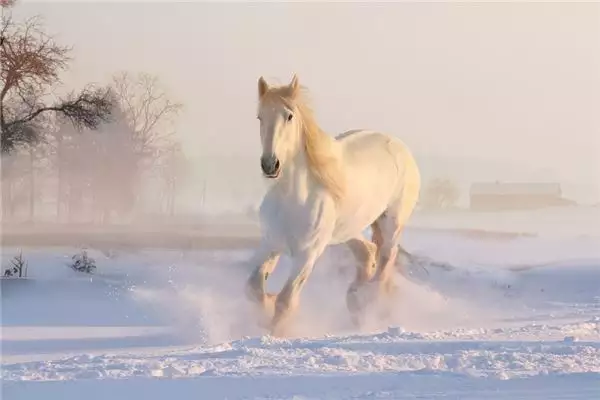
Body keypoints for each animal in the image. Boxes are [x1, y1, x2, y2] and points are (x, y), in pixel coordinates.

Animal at [244, 73, 422, 336]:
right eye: (260, 117)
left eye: (289, 116)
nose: (270, 164)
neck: (293, 198)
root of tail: (399, 146)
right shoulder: (270, 243)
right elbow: (254, 288)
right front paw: (265, 311)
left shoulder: (307, 255)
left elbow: (285, 301)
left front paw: (274, 332)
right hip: (348, 229)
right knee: (367, 252)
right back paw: (355, 300)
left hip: (392, 223)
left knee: (385, 261)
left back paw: (365, 302)